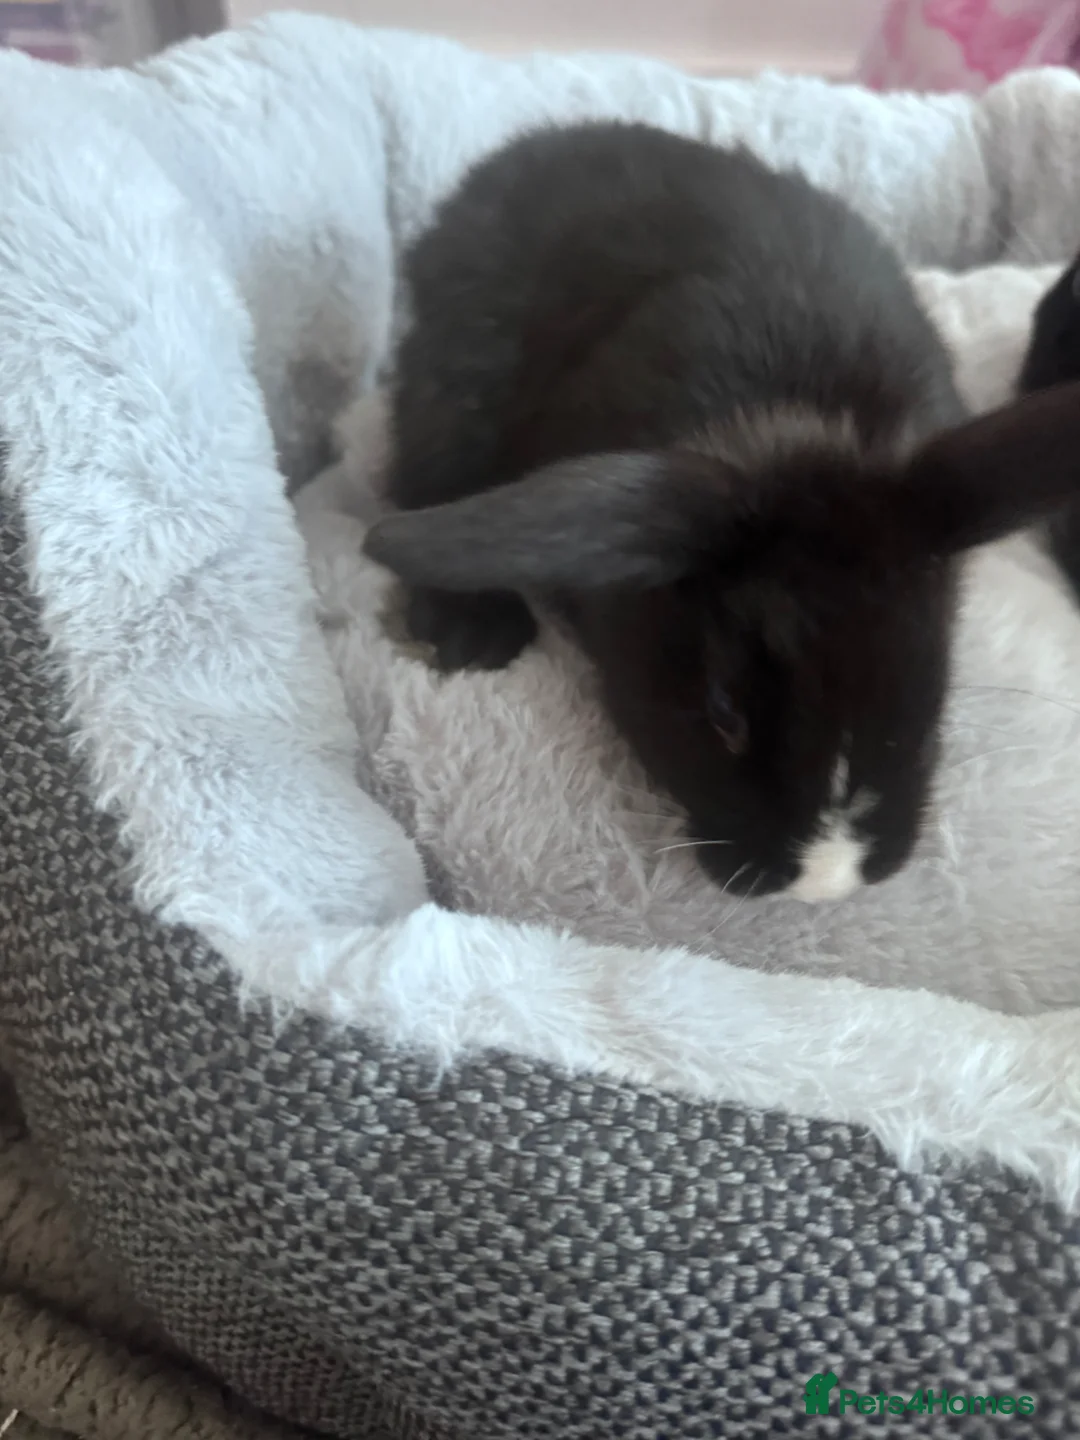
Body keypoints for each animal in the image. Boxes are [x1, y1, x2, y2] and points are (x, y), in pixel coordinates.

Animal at [364, 121, 1080, 903]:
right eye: (722, 711)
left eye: (927, 689)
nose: (824, 881)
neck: (799, 431)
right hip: (457, 382)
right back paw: (474, 631)